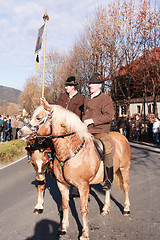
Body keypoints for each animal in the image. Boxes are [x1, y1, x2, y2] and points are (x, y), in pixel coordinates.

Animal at [18, 105, 131, 240]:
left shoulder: (83, 186)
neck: (70, 150)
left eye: (39, 118)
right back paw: (105, 208)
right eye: (33, 163)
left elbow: (83, 209)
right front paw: (63, 228)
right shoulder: (62, 184)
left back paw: (126, 209)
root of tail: (121, 135)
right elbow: (65, 205)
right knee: (107, 188)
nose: (20, 132)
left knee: (125, 187)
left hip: (124, 168)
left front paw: (84, 234)